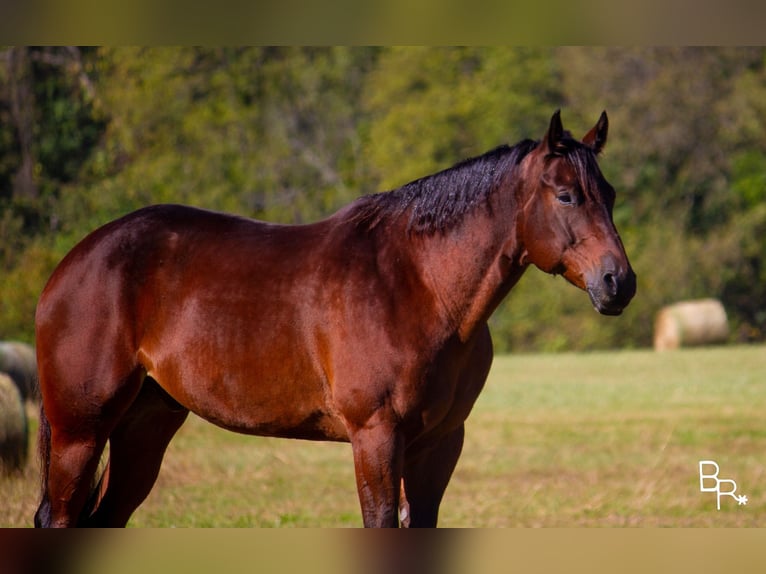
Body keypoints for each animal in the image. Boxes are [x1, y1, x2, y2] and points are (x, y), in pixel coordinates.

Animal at [34, 110, 636, 528]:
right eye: (566, 195)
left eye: (608, 194)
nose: (618, 283)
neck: (421, 285)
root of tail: (74, 263)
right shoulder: (376, 438)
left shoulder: (439, 444)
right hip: (80, 432)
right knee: (60, 517)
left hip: (145, 426)